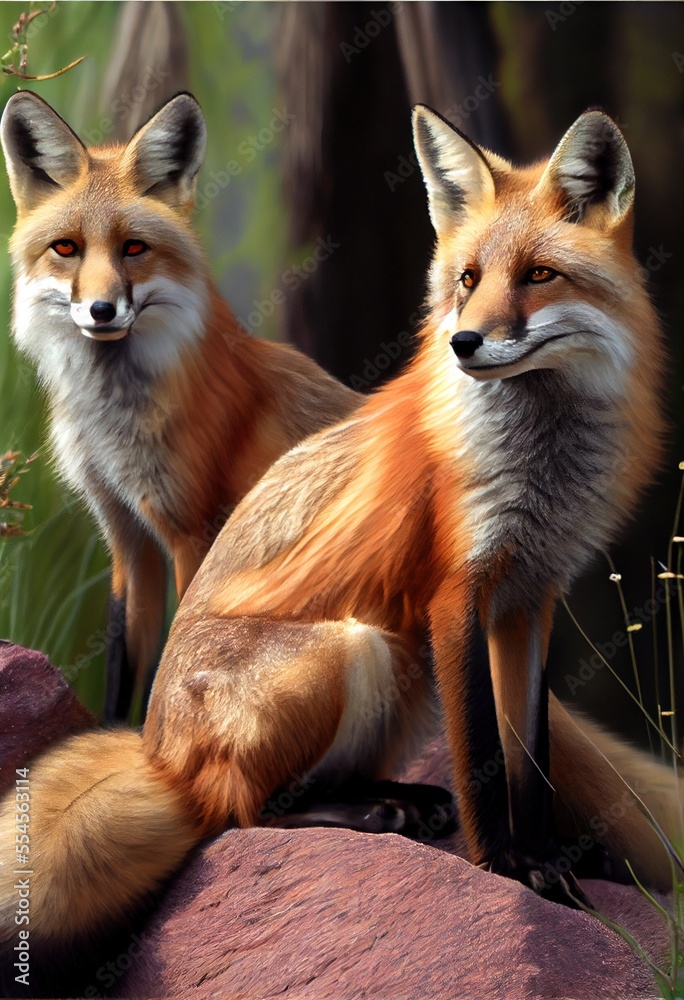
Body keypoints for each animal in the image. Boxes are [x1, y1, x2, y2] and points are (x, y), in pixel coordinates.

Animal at [0, 90, 360, 720]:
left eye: (134, 249)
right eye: (66, 248)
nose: (101, 310)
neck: (111, 425)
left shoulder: (194, 532)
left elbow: (175, 663)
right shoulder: (127, 537)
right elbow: (124, 672)